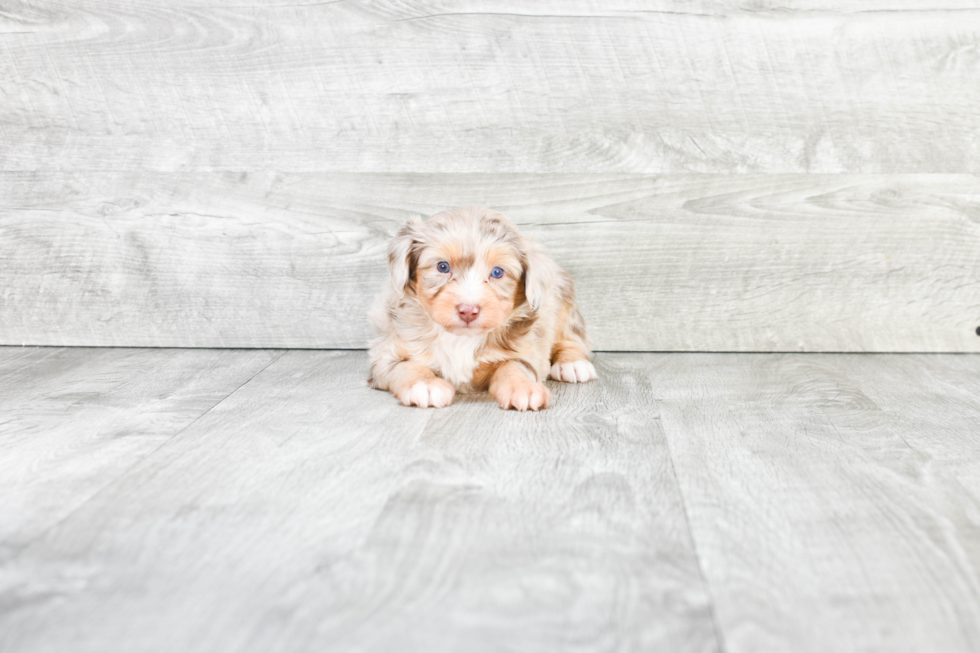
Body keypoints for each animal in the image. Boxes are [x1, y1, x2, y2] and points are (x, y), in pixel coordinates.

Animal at [370, 206, 592, 410]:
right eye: (442, 266)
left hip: (563, 304)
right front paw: (425, 385)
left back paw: (572, 363)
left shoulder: (526, 351)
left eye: (497, 272)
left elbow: (514, 366)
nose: (468, 310)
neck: (460, 338)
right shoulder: (385, 354)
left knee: (571, 338)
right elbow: (405, 366)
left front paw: (523, 387)